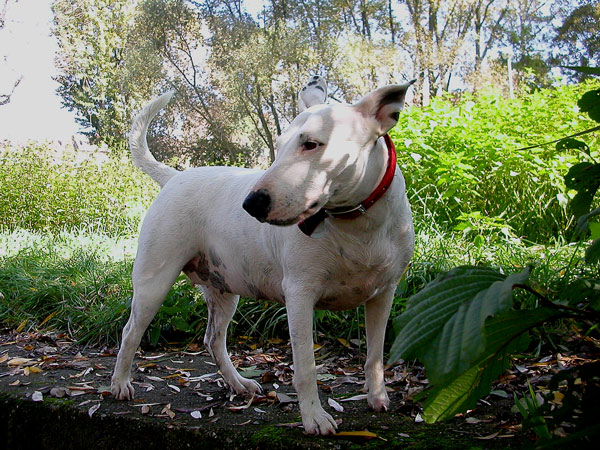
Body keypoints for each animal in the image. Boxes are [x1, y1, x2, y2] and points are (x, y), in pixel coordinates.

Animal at [110, 75, 414, 434]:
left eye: (311, 144)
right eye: (279, 146)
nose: (251, 203)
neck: (356, 222)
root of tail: (175, 176)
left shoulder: (383, 294)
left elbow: (375, 354)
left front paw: (377, 396)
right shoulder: (300, 294)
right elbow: (306, 367)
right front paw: (314, 417)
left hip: (223, 289)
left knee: (213, 340)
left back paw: (239, 383)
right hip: (153, 283)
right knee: (131, 333)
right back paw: (119, 383)